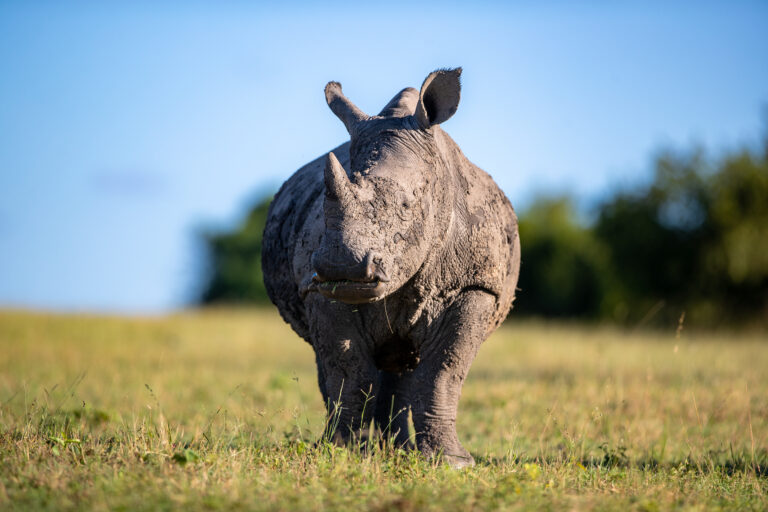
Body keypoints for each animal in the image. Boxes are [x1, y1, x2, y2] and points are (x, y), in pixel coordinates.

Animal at [262, 68, 520, 467]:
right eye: (324, 204)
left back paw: (398, 449)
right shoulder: (318, 289)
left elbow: (442, 372)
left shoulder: (476, 286)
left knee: (403, 367)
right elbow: (348, 370)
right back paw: (382, 447)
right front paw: (340, 452)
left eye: (406, 207)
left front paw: (451, 462)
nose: (343, 266)